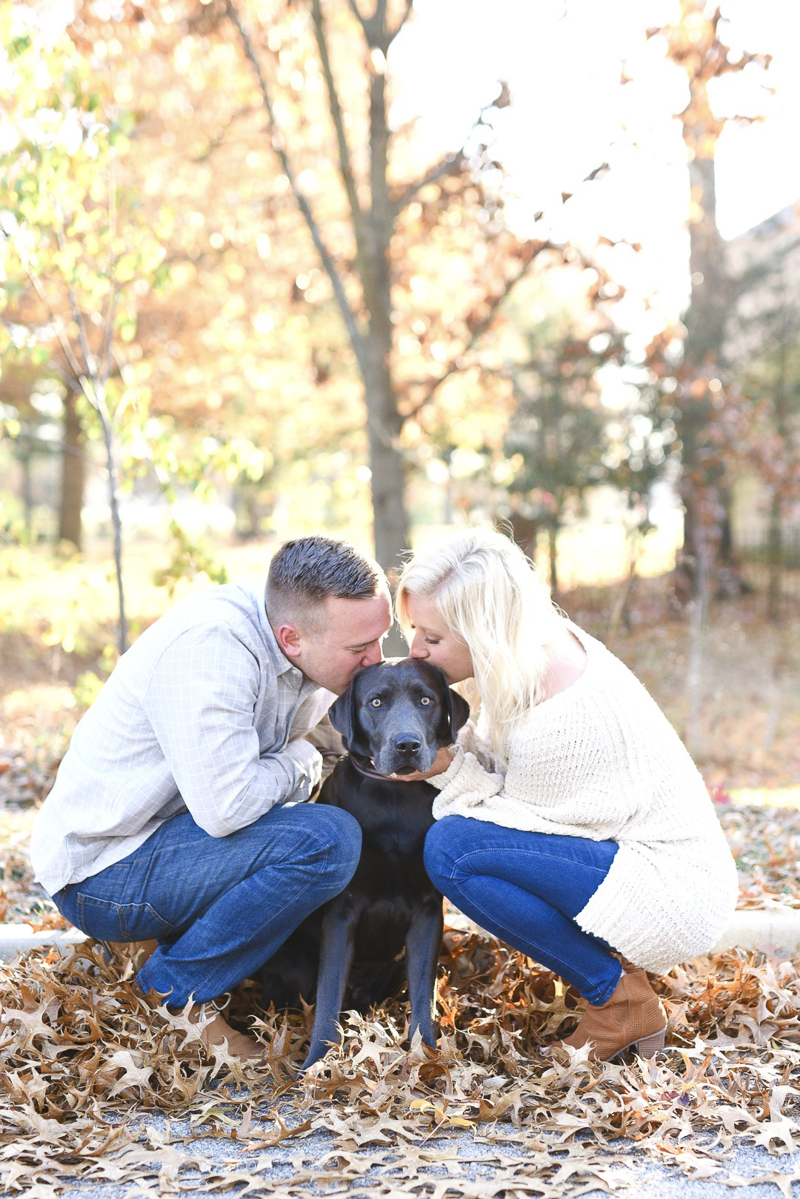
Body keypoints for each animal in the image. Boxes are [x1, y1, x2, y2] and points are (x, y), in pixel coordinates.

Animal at [257, 661, 470, 1074]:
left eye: (426, 700)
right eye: (375, 702)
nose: (407, 745)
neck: (394, 800)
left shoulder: (427, 912)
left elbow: (424, 996)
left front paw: (426, 1056)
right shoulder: (343, 912)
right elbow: (328, 994)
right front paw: (317, 1063)